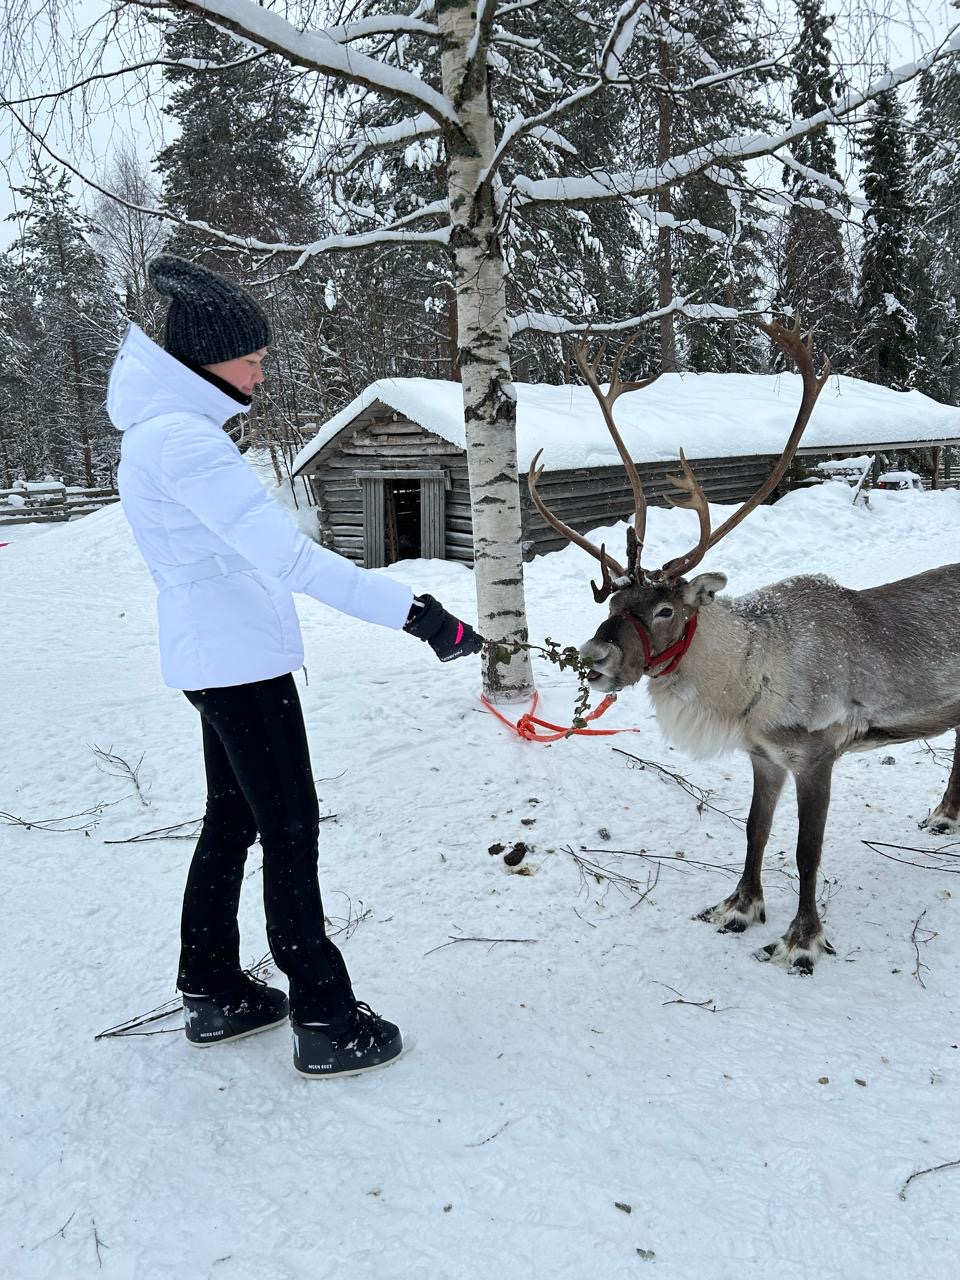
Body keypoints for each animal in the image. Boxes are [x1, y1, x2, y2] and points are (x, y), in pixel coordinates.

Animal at [529, 319, 960, 974]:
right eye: (611, 605)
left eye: (665, 609)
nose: (593, 658)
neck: (751, 678)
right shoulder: (763, 755)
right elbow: (755, 830)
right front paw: (738, 907)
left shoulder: (817, 753)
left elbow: (807, 851)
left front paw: (801, 939)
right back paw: (944, 815)